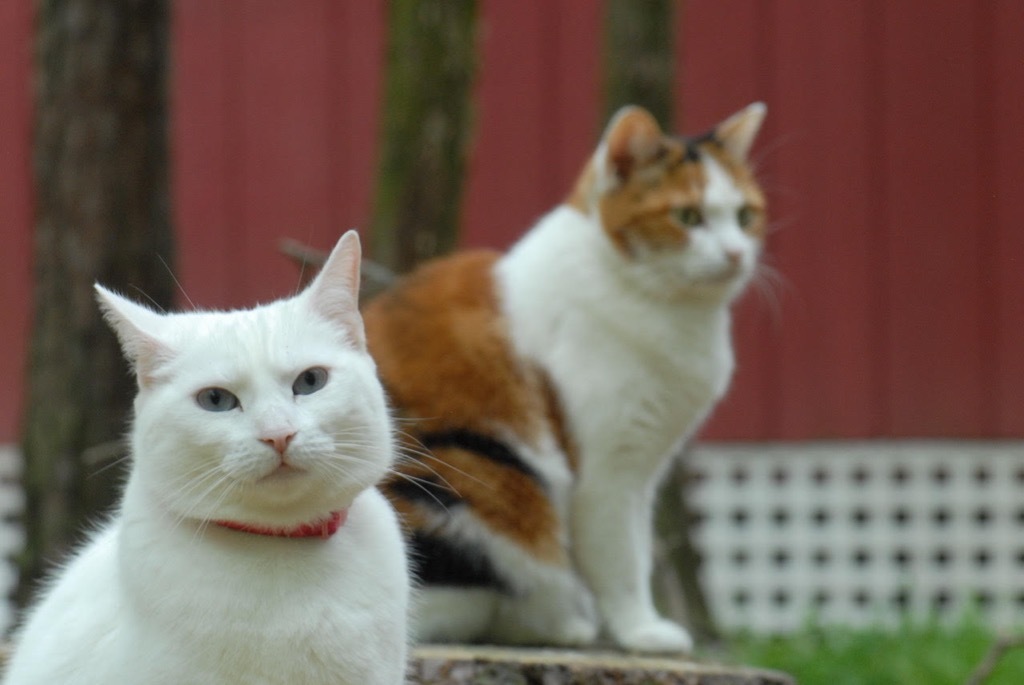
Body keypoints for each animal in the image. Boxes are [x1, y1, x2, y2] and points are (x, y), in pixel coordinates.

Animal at [364, 102, 765, 651]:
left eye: (745, 216)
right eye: (688, 216)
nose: (736, 254)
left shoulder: (645, 467)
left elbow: (634, 545)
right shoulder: (608, 468)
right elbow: (622, 557)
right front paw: (641, 630)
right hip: (481, 478)